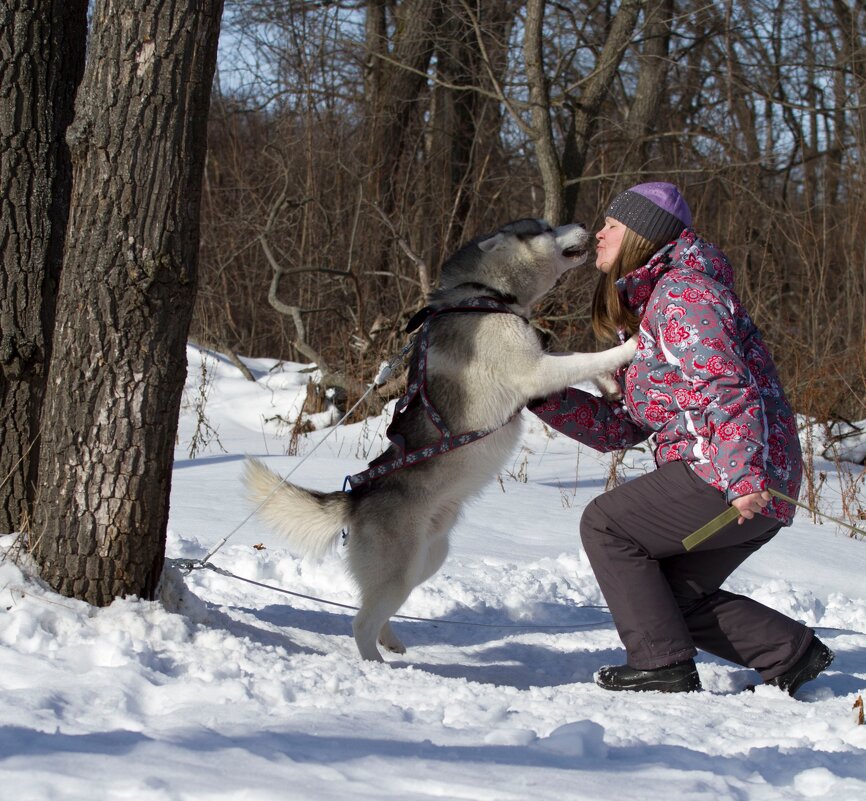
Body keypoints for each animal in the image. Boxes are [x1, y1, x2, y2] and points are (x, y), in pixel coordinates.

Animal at [243, 216, 636, 660]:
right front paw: (630, 348)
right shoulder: (532, 370)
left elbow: (573, 359)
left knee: (377, 610)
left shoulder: (538, 366)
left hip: (428, 557)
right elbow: (582, 358)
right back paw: (375, 664)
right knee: (361, 621)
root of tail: (356, 499)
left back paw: (392, 642)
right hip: (400, 567)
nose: (586, 225)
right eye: (545, 227)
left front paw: (611, 383)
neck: (487, 294)